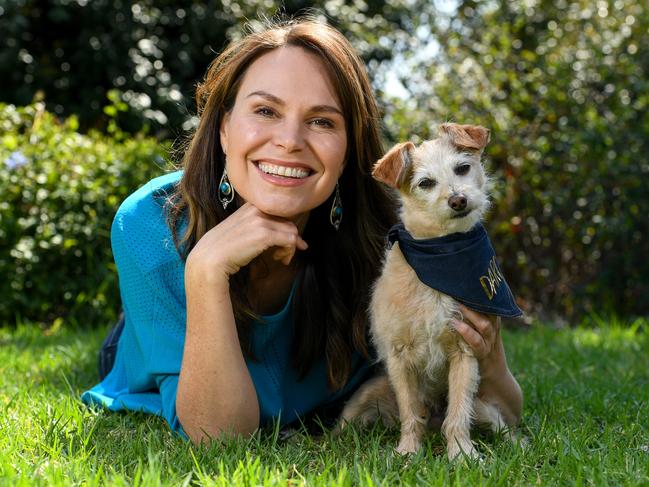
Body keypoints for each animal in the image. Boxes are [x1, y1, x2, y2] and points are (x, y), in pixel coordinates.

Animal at [340, 123, 520, 462]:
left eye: (462, 168)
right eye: (425, 183)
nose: (458, 200)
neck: (441, 251)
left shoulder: (464, 352)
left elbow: (458, 413)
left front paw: (462, 454)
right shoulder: (399, 358)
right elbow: (411, 412)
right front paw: (408, 452)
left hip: (485, 407)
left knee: (499, 425)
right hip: (363, 398)